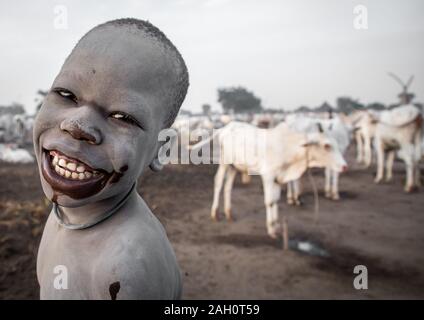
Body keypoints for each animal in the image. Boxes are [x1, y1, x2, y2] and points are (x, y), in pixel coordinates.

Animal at [190, 121, 346, 239]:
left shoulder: (278, 178)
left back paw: (229, 214)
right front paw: (271, 230)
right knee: (218, 182)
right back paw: (215, 214)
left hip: (235, 166)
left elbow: (276, 200)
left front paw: (276, 226)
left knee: (228, 185)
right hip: (224, 162)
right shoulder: (268, 176)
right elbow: (269, 201)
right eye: (327, 145)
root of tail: (228, 126)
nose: (344, 166)